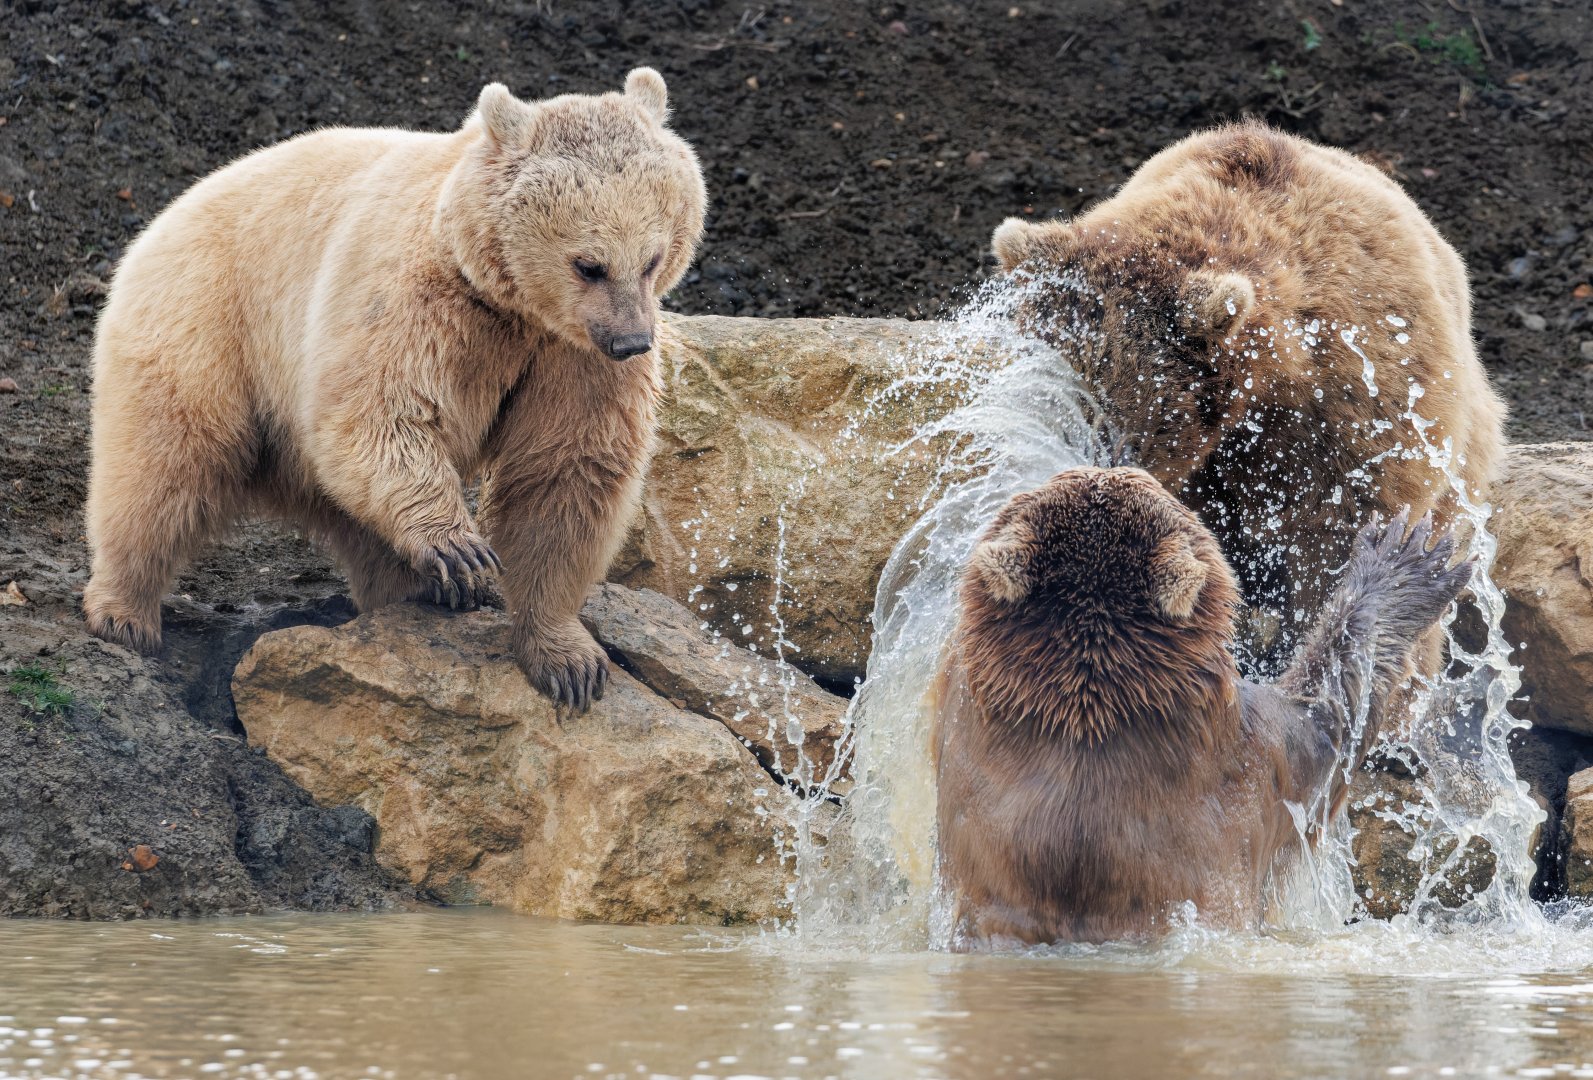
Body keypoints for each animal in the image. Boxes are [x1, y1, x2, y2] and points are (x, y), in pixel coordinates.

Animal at [83, 69, 706, 712]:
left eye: (652, 259)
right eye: (589, 265)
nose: (631, 341)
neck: (504, 300)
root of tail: (164, 215)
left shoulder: (570, 357)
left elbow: (567, 471)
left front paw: (570, 660)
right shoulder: (411, 299)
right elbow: (378, 411)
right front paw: (461, 548)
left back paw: (420, 593)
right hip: (209, 321)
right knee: (166, 463)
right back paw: (125, 612)